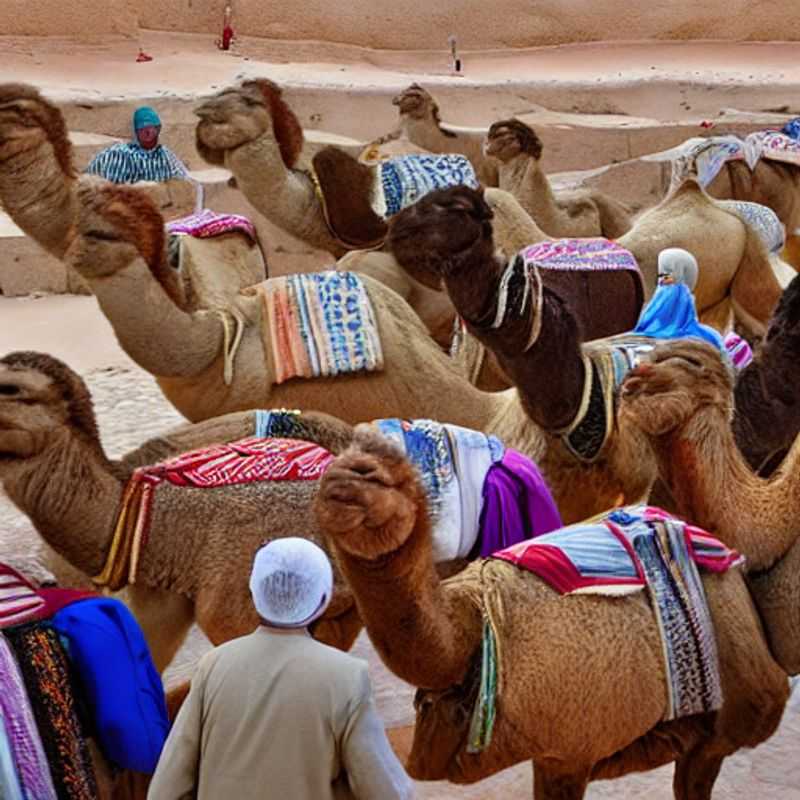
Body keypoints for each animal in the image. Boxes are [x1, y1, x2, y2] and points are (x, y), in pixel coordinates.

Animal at [313, 427, 790, 799]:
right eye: (337, 469)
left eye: (377, 475)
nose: (339, 490)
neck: (475, 627)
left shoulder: (569, 749)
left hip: (730, 709)